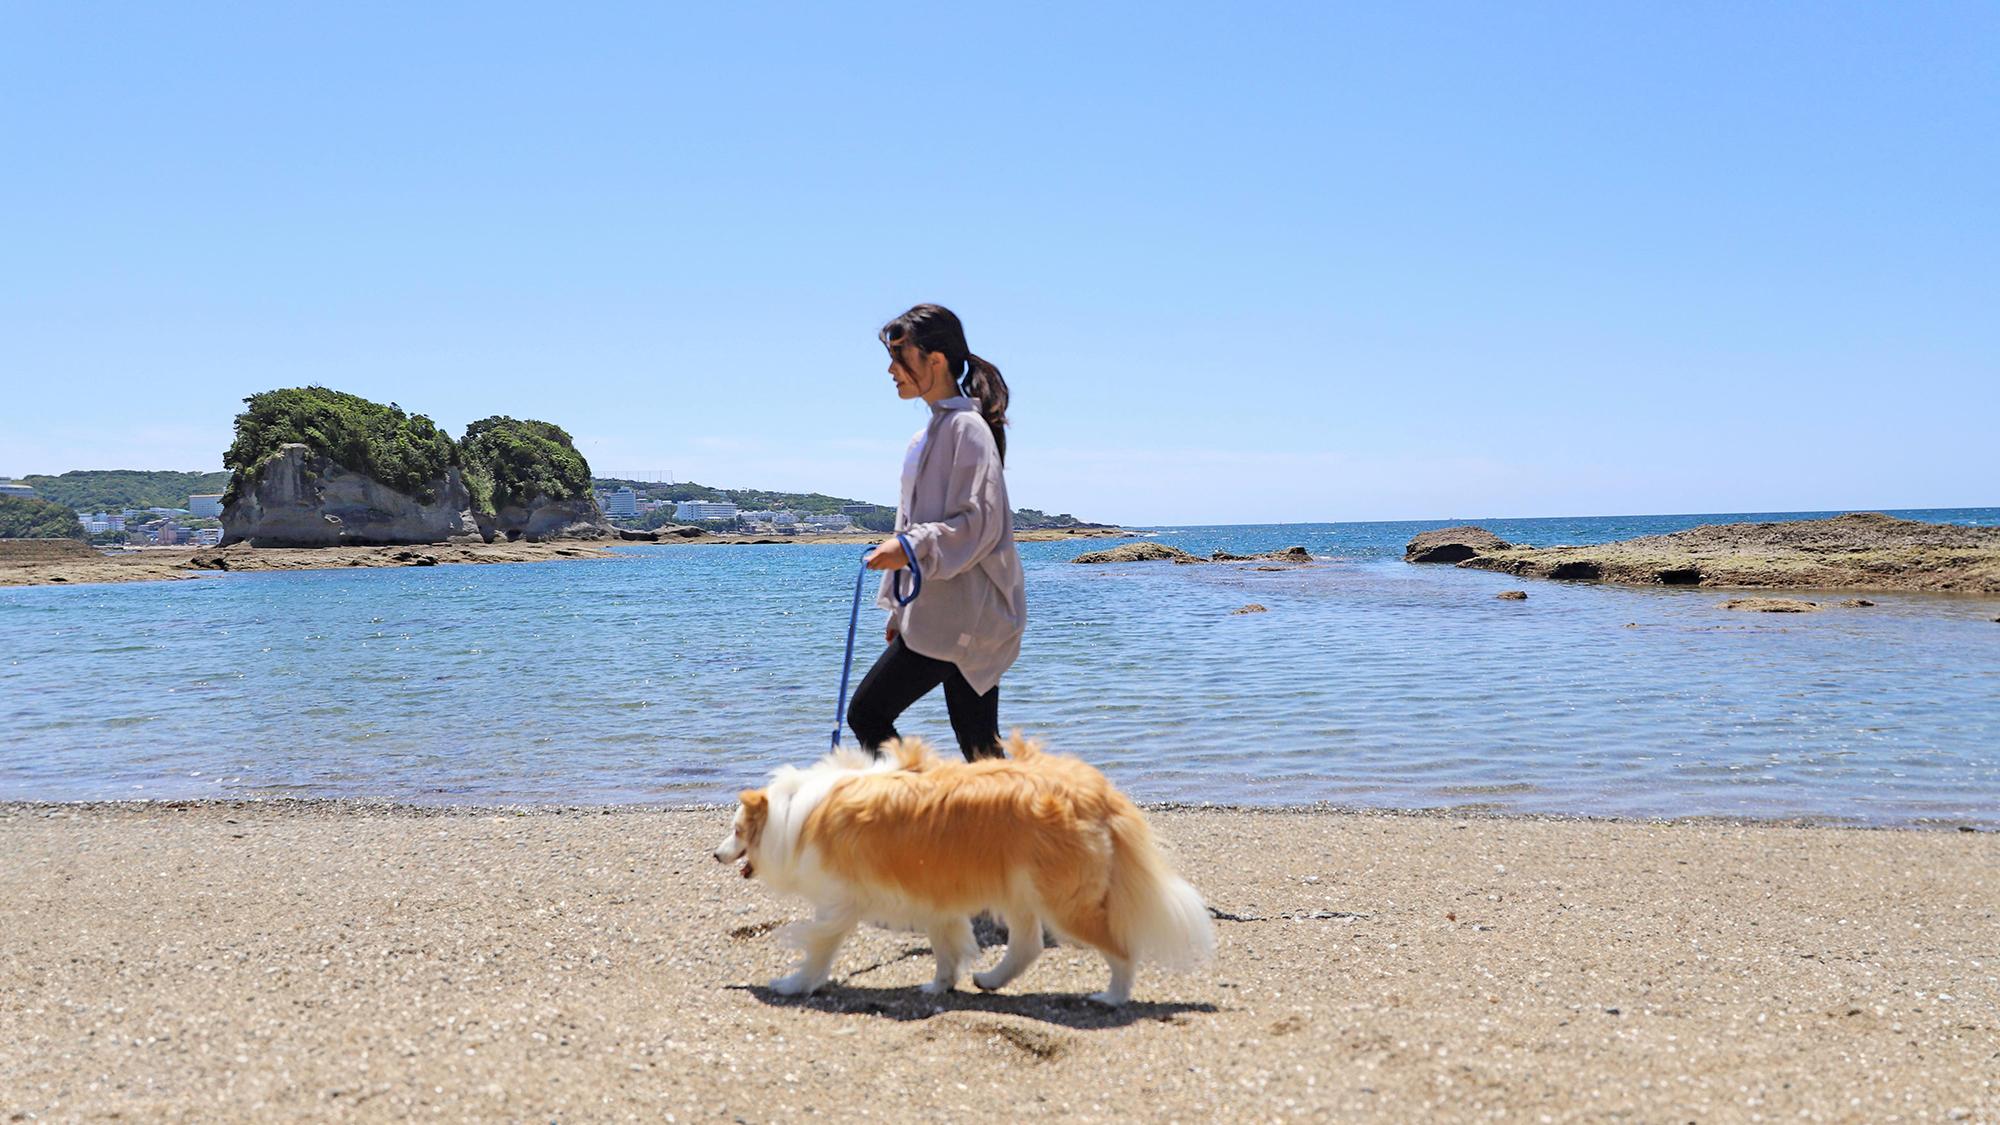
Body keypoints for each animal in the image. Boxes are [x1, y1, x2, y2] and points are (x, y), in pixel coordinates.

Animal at [720, 732, 1216, 1000]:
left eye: (737, 828)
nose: (715, 854)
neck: (797, 812)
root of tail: (1098, 793)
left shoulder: (840, 903)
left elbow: (819, 948)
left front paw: (792, 985)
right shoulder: (935, 900)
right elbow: (946, 949)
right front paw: (939, 987)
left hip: (1061, 899)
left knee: (1121, 950)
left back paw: (1111, 996)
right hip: (1020, 889)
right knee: (1027, 946)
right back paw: (991, 980)